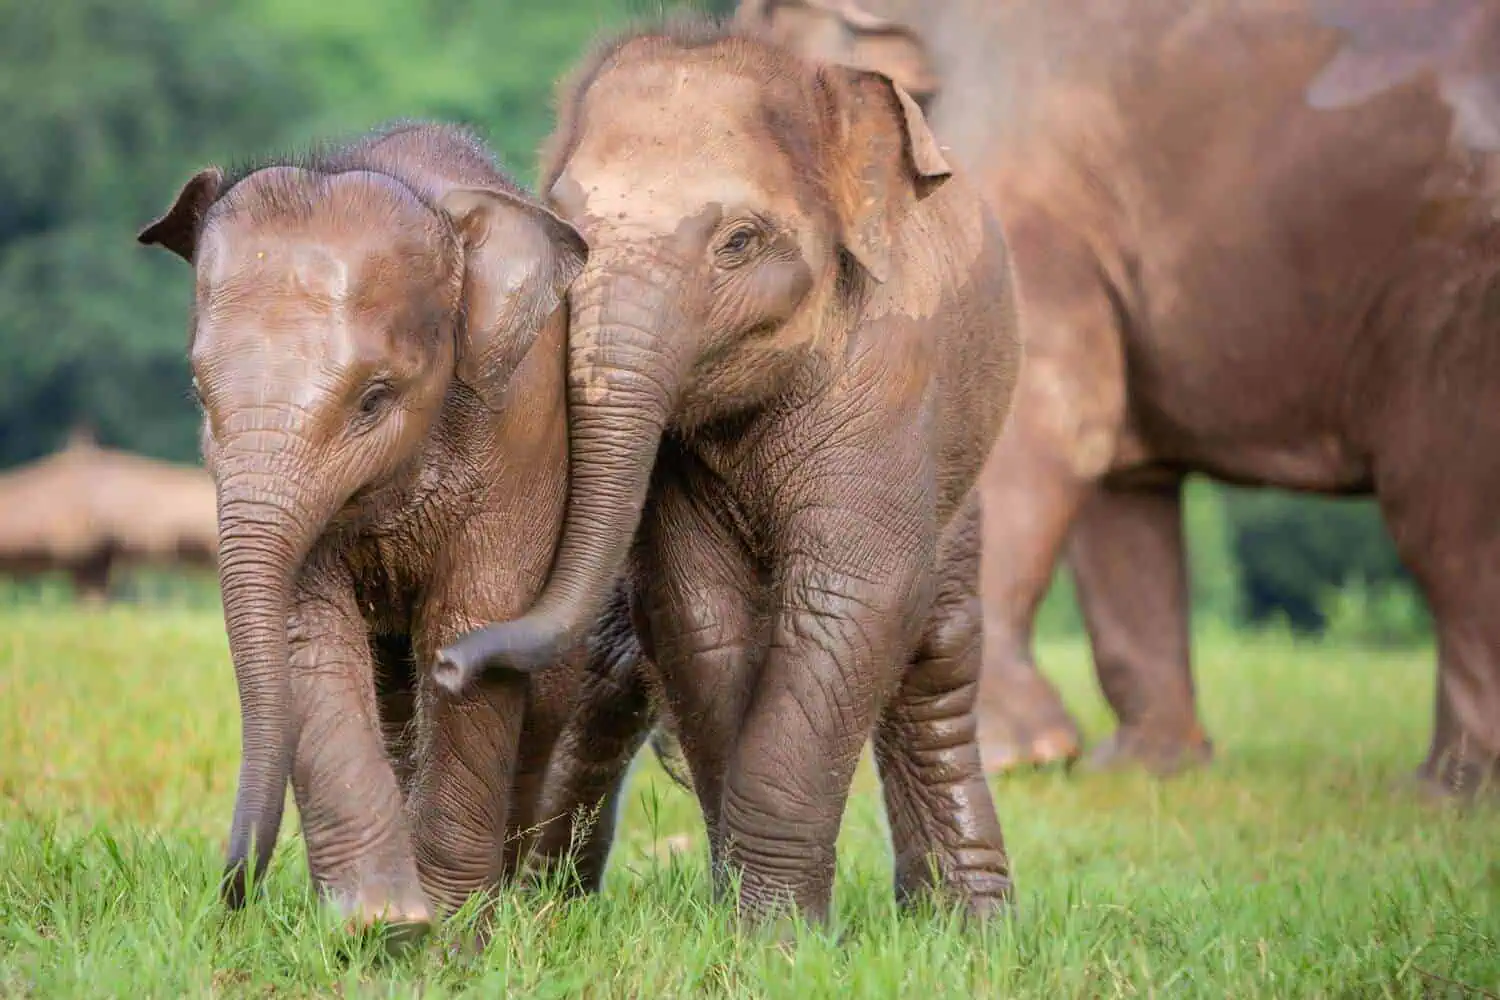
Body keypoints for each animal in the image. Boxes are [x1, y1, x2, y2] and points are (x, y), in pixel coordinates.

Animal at [136, 120, 611, 936]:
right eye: (198, 392)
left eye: (374, 399)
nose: (230, 898)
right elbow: (309, 631)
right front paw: (380, 926)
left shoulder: (522, 424)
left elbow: (472, 616)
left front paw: (448, 933)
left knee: (542, 699)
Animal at [434, 17, 1024, 926]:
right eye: (563, 226)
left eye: (739, 241)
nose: (449, 665)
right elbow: (699, 610)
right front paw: (749, 918)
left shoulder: (892, 375)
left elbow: (851, 603)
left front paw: (773, 934)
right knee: (612, 666)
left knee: (937, 654)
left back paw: (971, 930)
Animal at [739, 0, 1500, 796]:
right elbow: (1122, 486)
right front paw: (1144, 768)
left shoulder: (1019, 191)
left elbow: (1047, 420)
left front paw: (1018, 755)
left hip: (1453, 296)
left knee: (1443, 516)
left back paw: (1443, 793)